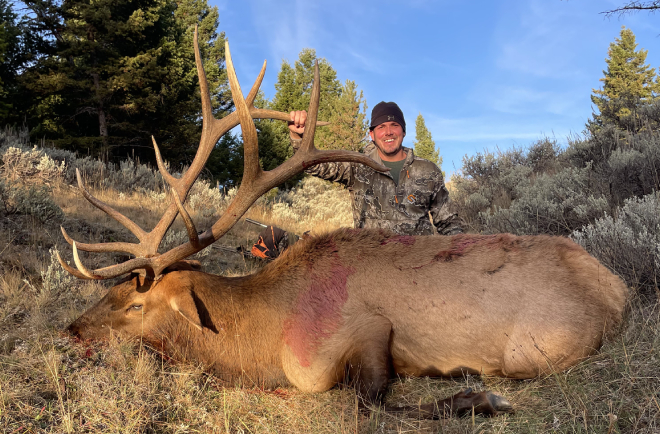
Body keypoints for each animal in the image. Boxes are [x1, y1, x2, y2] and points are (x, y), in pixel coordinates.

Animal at [60, 28, 629, 419]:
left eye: (135, 304)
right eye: (110, 293)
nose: (71, 330)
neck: (263, 336)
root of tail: (617, 288)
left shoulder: (361, 333)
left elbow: (371, 402)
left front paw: (480, 398)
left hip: (537, 348)